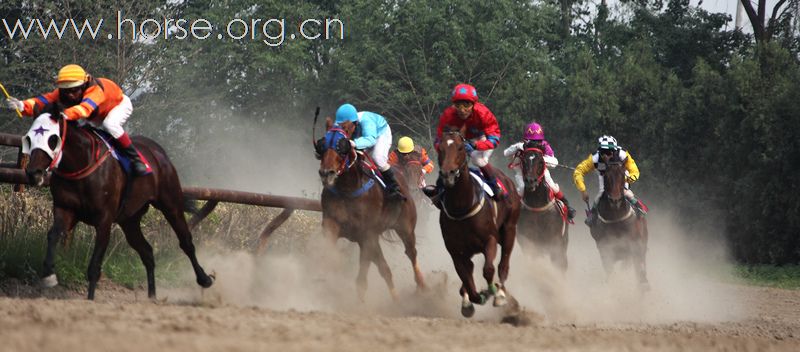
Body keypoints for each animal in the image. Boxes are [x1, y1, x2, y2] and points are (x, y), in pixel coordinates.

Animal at [23, 108, 214, 298]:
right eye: (28, 139)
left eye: (52, 139)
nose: (33, 173)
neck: (82, 164)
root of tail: (158, 152)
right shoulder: (65, 209)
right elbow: (53, 235)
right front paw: (48, 274)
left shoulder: (104, 221)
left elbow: (94, 267)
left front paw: (90, 298)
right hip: (129, 220)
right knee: (147, 251)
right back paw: (152, 296)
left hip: (170, 203)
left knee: (186, 242)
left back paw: (204, 279)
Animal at [316, 118, 424, 300]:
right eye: (323, 144)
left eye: (342, 147)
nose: (326, 173)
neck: (348, 190)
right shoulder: (333, 224)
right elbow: (333, 256)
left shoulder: (368, 234)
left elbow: (370, 273)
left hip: (406, 228)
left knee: (411, 253)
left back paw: (422, 287)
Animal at [434, 126, 520, 316]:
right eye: (440, 149)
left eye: (460, 148)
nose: (448, 174)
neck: (462, 207)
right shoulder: (456, 251)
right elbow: (466, 278)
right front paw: (474, 299)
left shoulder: (490, 239)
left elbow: (488, 270)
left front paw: (493, 293)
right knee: (471, 269)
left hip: (509, 230)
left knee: (503, 265)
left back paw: (500, 291)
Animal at [588, 161, 648, 290]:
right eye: (606, 176)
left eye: (623, 176)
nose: (615, 200)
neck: (616, 218)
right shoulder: (605, 249)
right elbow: (609, 271)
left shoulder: (634, 245)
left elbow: (638, 267)